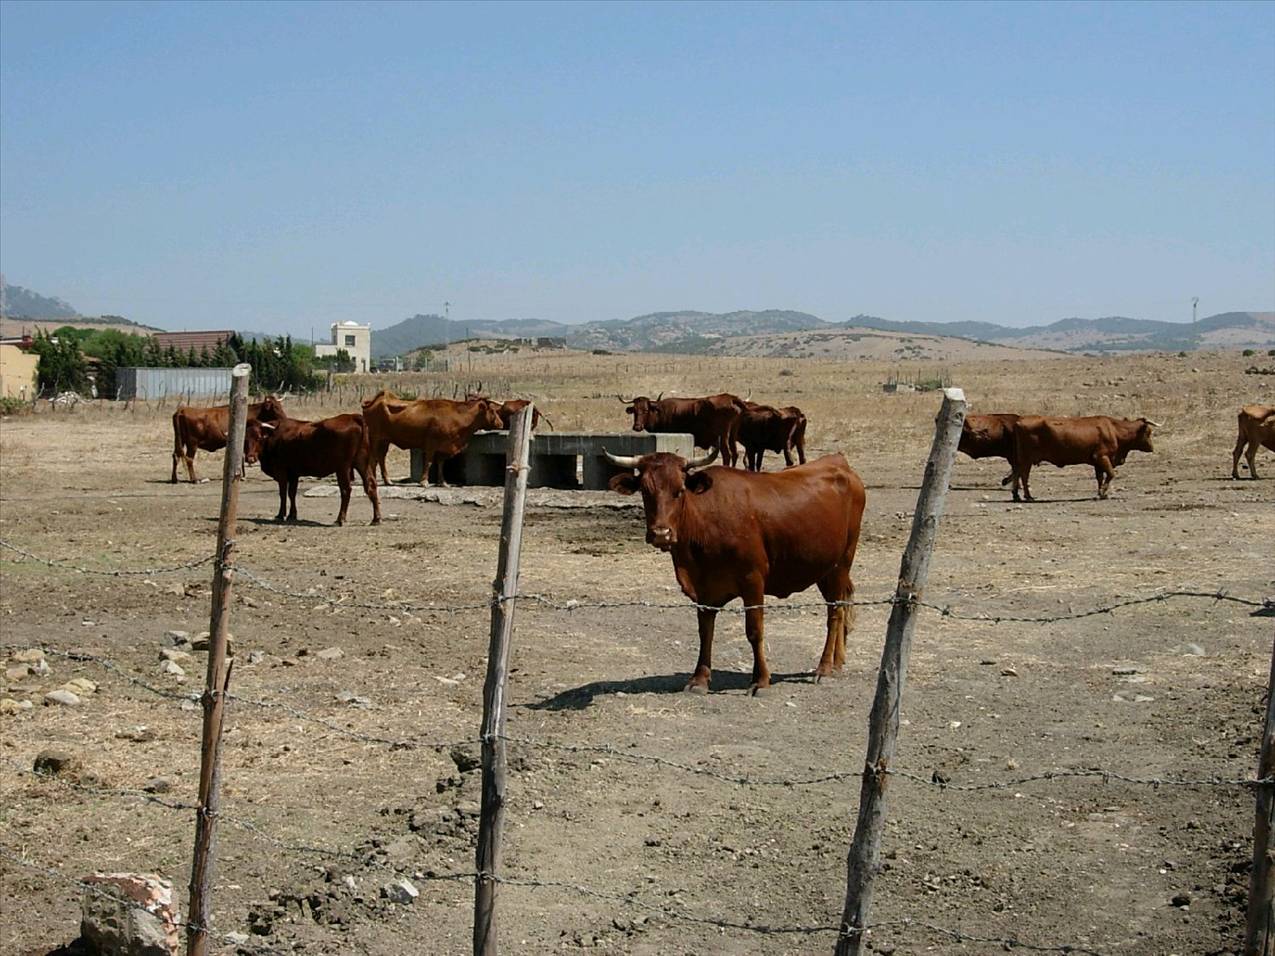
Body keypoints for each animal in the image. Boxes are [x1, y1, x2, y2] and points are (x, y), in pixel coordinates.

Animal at [243, 414, 381, 526]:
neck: (273, 436)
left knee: (346, 490)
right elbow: (291, 493)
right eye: (245, 439)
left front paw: (281, 515)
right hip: (362, 463)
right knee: (371, 485)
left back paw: (340, 519)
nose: (250, 458)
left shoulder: (281, 472)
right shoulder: (294, 474)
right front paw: (292, 514)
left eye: (259, 437)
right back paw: (376, 518)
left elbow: (282, 494)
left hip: (343, 468)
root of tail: (353, 417)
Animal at [361, 391, 504, 486]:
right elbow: (429, 461)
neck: (457, 415)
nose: (501, 423)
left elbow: (441, 462)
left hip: (385, 440)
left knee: (381, 458)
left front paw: (443, 482)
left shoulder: (444, 446)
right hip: (375, 438)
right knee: (373, 458)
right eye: (492, 410)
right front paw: (424, 481)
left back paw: (387, 480)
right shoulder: (431, 444)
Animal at [605, 448, 866, 694]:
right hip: (824, 568)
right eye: (645, 491)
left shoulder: (753, 580)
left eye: (679, 491)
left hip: (843, 561)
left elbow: (754, 630)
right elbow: (705, 631)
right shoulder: (703, 587)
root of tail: (838, 462)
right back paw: (837, 662)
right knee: (839, 607)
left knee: (835, 613)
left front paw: (760, 681)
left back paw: (824, 668)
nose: (661, 533)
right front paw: (699, 679)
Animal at [1004, 415, 1158, 502]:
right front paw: (1103, 493)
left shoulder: (1096, 462)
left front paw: (1101, 493)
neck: (1114, 429)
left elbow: (1100, 477)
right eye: (1148, 432)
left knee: (1017, 474)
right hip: (1026, 459)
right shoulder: (1102, 457)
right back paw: (1028, 496)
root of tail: (1019, 421)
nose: (1152, 448)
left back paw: (1016, 496)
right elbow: (1110, 474)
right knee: (1023, 476)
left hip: (1021, 459)